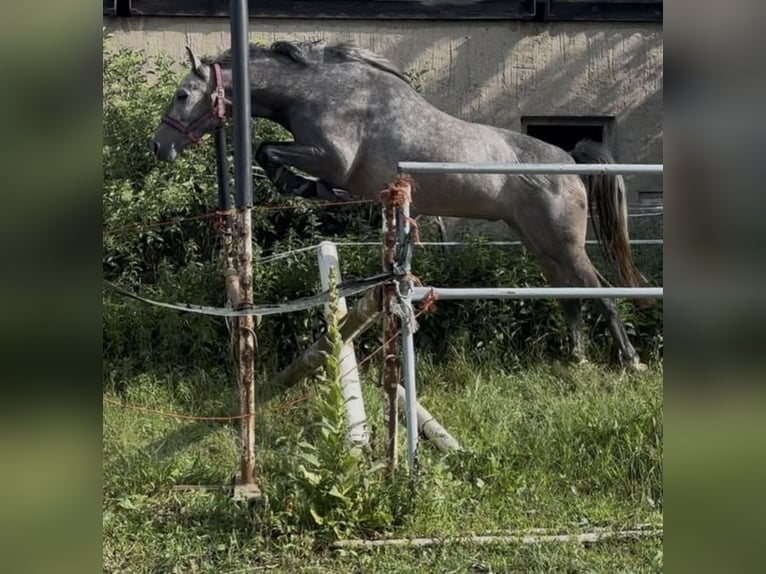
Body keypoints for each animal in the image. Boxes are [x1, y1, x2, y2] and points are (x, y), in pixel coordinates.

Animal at [153, 40, 650, 371]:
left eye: (182, 94)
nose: (162, 148)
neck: (319, 91)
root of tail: (568, 160)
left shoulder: (330, 157)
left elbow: (269, 152)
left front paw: (311, 189)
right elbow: (266, 152)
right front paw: (307, 188)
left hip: (563, 245)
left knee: (600, 291)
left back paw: (629, 361)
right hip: (540, 245)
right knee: (571, 296)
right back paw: (578, 359)